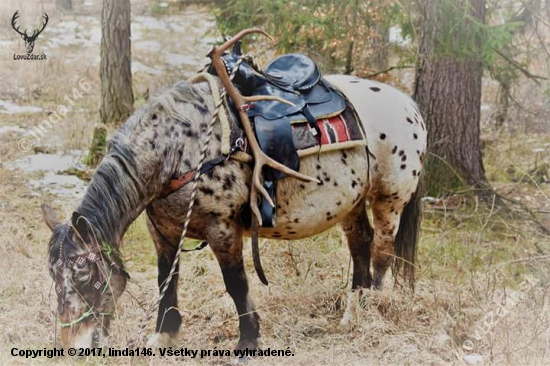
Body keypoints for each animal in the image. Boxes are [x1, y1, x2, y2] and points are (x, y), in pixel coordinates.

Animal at [43, 33, 430, 354]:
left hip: (389, 199)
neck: (178, 150)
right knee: (360, 244)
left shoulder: (223, 229)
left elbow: (236, 285)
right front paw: (163, 335)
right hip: (350, 202)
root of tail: (410, 106)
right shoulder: (163, 233)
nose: (73, 346)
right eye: (53, 276)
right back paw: (354, 311)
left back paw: (372, 311)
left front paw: (248, 342)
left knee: (381, 252)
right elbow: (166, 279)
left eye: (86, 275)